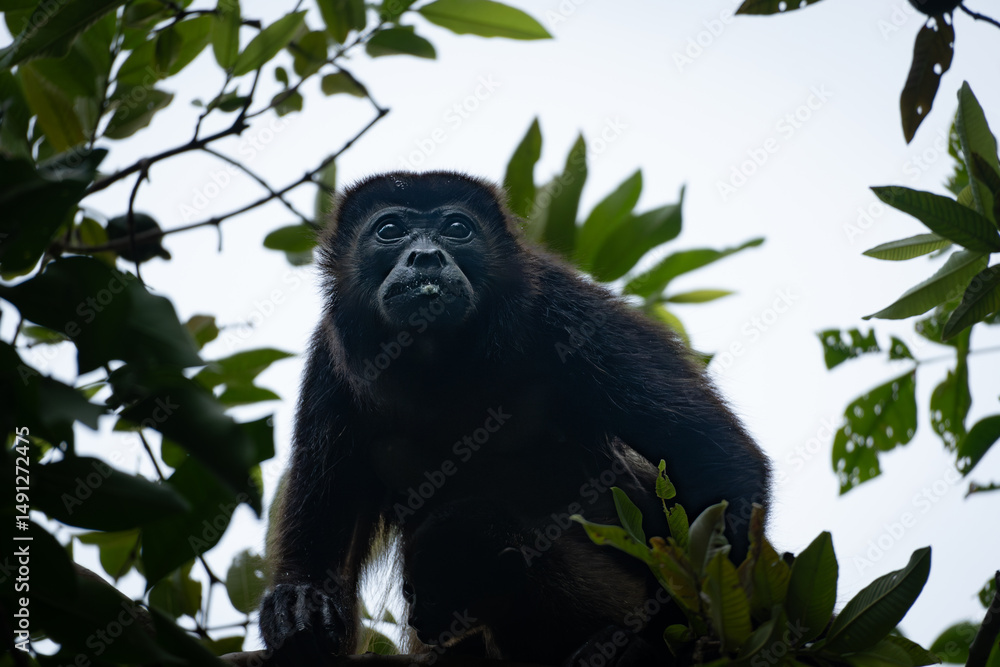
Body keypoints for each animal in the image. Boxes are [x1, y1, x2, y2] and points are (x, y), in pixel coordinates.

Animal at [258, 171, 770, 664]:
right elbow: (328, 527)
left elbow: (712, 458)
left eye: (457, 228)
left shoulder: (568, 310)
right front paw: (300, 604)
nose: (426, 258)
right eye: (389, 230)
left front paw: (670, 639)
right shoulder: (330, 361)